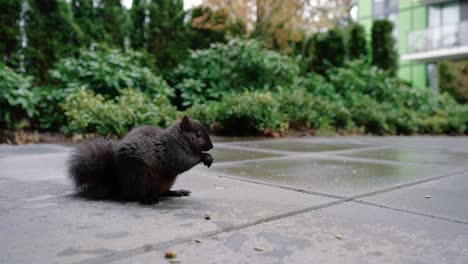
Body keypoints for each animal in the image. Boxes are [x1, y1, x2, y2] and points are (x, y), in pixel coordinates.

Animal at [67, 115, 214, 204]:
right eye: (198, 134)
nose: (211, 146)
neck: (180, 139)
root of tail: (121, 187)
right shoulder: (172, 150)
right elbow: (183, 162)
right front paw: (205, 156)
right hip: (140, 176)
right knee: (137, 196)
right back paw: (148, 199)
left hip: (166, 181)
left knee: (163, 192)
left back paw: (177, 192)